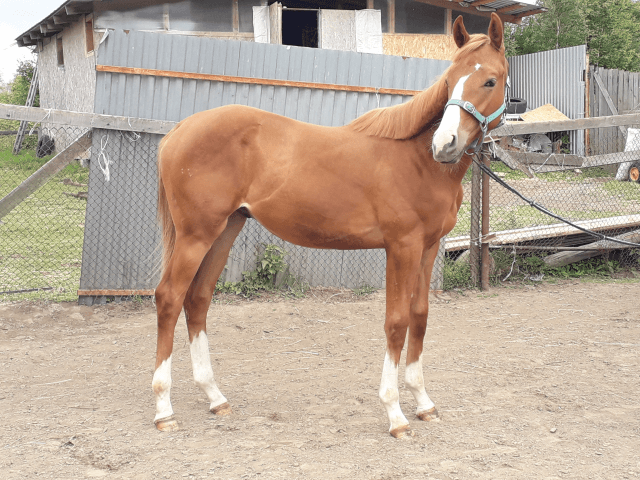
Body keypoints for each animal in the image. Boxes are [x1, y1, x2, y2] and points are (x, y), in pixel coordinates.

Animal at [152, 13, 508, 438]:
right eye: (450, 78)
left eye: (490, 80)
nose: (445, 144)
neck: (416, 160)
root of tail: (179, 130)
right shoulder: (401, 248)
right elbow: (397, 322)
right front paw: (395, 415)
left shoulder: (428, 247)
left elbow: (419, 318)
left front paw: (423, 403)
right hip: (196, 235)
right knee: (170, 298)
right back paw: (163, 409)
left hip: (224, 230)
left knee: (198, 299)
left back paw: (215, 397)